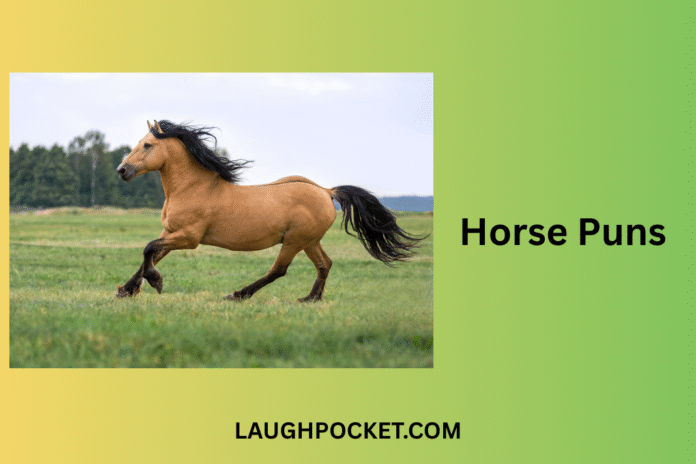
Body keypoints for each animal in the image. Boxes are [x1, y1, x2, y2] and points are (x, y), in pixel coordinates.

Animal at [115, 120, 425, 302]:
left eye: (147, 144)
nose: (122, 171)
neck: (193, 187)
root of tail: (327, 191)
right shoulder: (170, 232)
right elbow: (151, 255)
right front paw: (126, 290)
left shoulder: (188, 237)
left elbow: (148, 249)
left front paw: (154, 282)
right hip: (310, 241)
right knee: (325, 264)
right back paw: (310, 299)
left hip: (294, 241)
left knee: (279, 270)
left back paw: (238, 294)